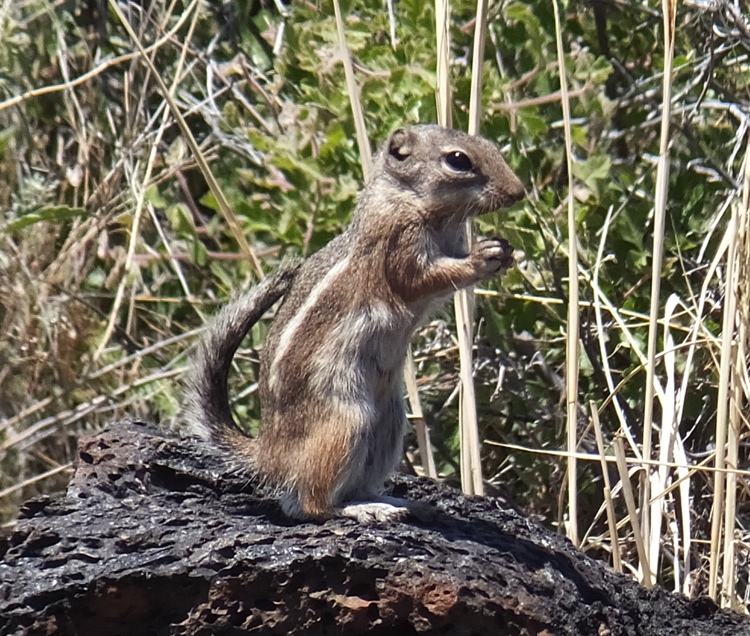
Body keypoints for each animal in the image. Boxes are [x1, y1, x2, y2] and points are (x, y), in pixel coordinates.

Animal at [185, 124, 524, 520]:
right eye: (458, 160)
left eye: (488, 144)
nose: (517, 192)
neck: (412, 201)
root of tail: (269, 453)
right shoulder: (399, 246)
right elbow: (423, 280)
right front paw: (482, 258)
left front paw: (505, 252)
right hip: (346, 423)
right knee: (310, 503)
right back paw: (362, 510)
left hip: (388, 424)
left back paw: (393, 501)